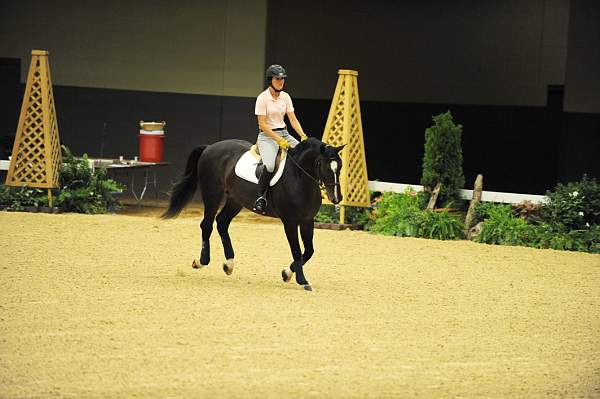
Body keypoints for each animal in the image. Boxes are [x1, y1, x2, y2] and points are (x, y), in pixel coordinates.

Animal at [162, 138, 344, 290]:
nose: (336, 198)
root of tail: (210, 147)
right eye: (321, 164)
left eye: (340, 166)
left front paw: (286, 273)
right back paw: (201, 261)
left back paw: (229, 264)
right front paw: (302, 280)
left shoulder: (307, 221)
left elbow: (309, 251)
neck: (299, 179)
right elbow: (297, 250)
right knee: (207, 224)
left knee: (222, 222)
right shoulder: (290, 222)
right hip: (212, 194)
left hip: (235, 200)